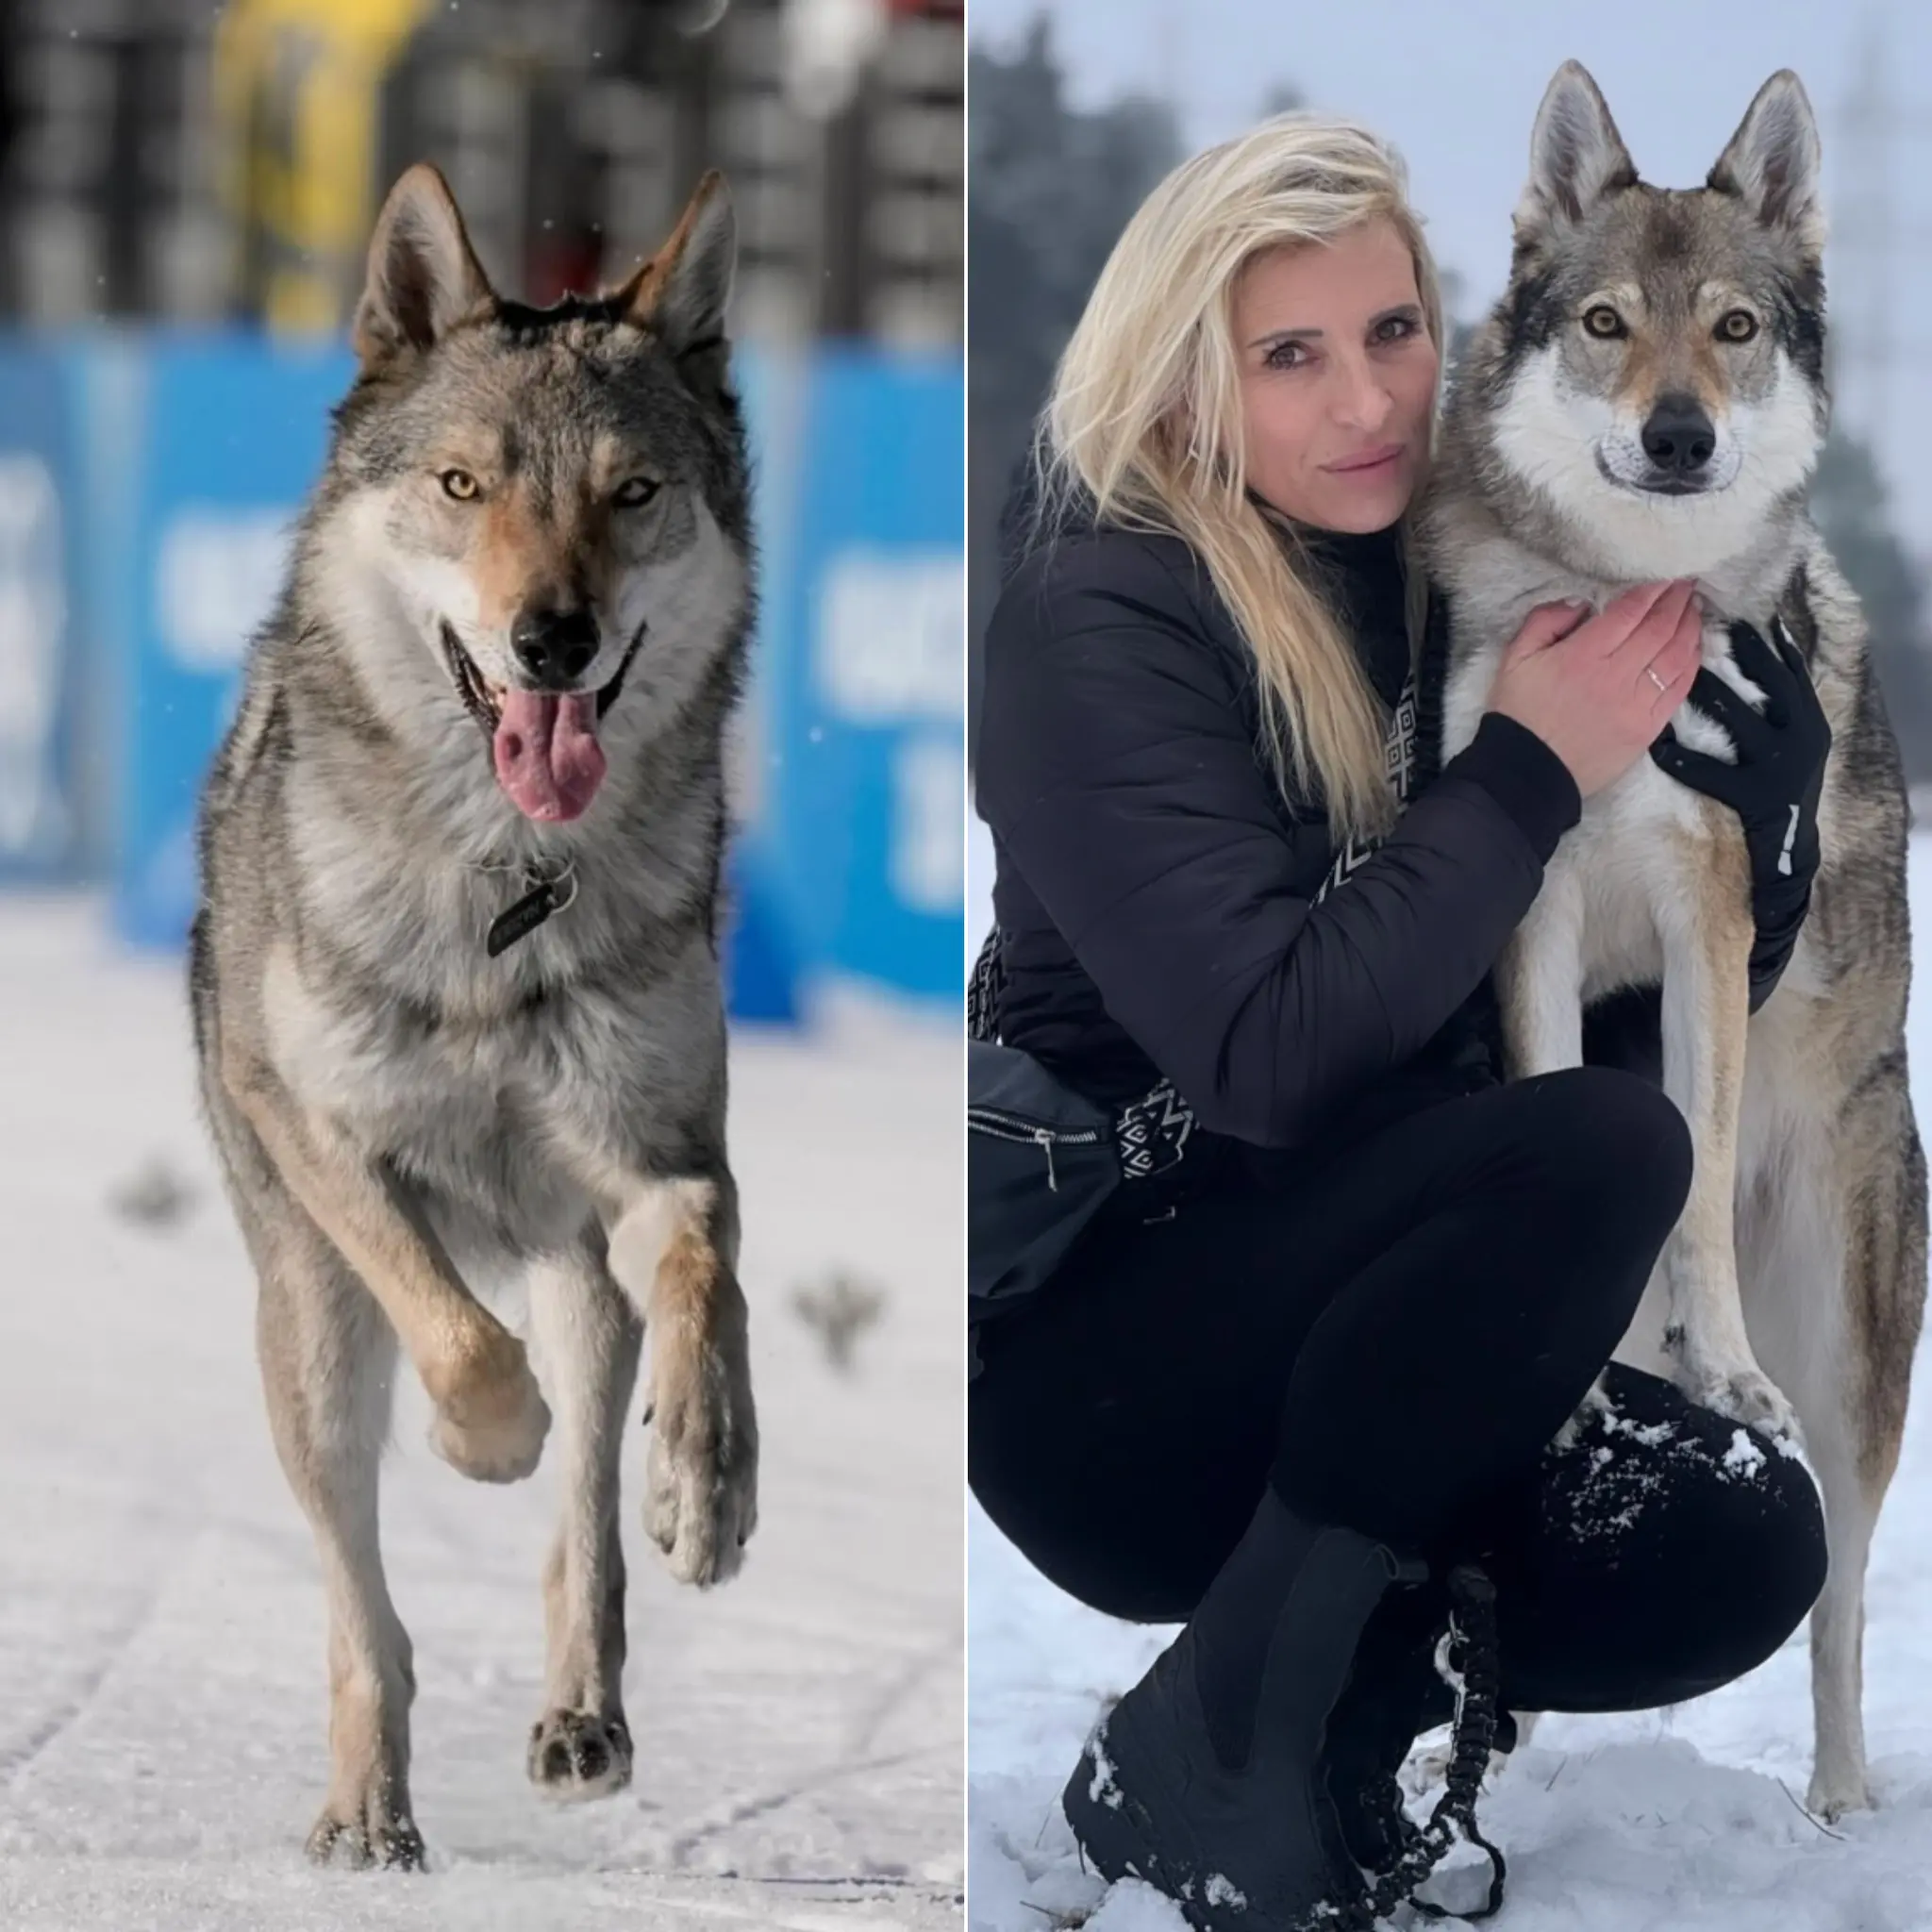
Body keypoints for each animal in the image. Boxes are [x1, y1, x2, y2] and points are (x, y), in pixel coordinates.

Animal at [189, 161, 759, 1865]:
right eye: (461, 485)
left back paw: (591, 1702)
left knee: (588, 1528)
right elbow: (455, 1334)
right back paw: (367, 1816)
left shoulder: (662, 1158)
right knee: (366, 1619)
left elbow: (704, 1277)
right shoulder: (322, 1135)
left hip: (580, 1277)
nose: (551, 640)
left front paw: (708, 1482)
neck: (507, 887)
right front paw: (477, 1441)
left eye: (631, 494)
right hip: (308, 1339)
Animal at [1422, 62, 1927, 1818]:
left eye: (1730, 327)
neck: (1629, 609)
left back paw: (1839, 1803)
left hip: (1850, 1360)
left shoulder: (1713, 894)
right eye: (1601, 324)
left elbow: (1691, 1165)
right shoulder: (1537, 894)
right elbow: (1568, 1102)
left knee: (1839, 1594)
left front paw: (1722, 1369)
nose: (1678, 432)